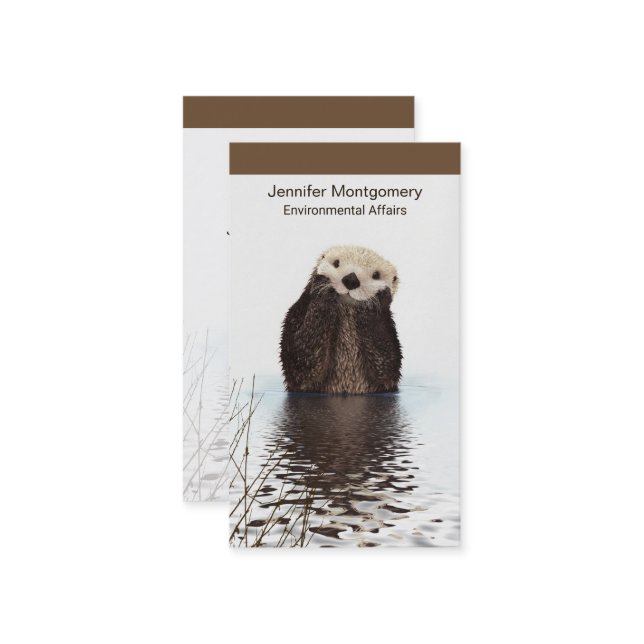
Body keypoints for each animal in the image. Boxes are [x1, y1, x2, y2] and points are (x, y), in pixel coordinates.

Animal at [280, 245, 402, 394]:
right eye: (336, 263)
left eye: (376, 275)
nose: (351, 280)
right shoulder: (296, 316)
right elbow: (301, 360)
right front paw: (323, 287)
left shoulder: (389, 333)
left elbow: (386, 365)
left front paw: (375, 301)